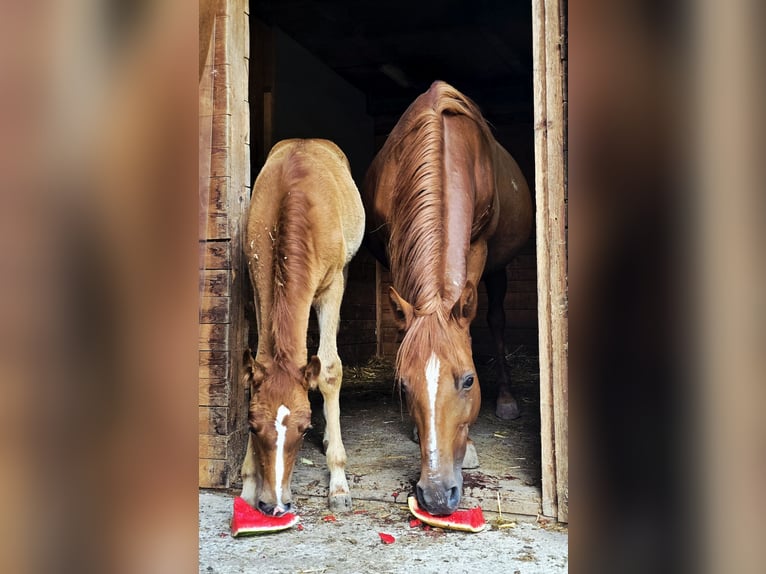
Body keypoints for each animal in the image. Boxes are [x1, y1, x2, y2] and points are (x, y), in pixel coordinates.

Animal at [240, 139, 365, 515]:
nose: (274, 504)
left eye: (304, 427)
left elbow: (329, 370)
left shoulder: (332, 285)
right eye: (252, 426)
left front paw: (338, 484)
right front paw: (248, 483)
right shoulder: (258, 287)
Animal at [361, 81, 533, 514]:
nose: (437, 494)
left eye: (469, 380)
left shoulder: (479, 247)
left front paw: (469, 444)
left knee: (496, 320)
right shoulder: (397, 245)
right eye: (403, 385)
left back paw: (507, 400)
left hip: (498, 268)